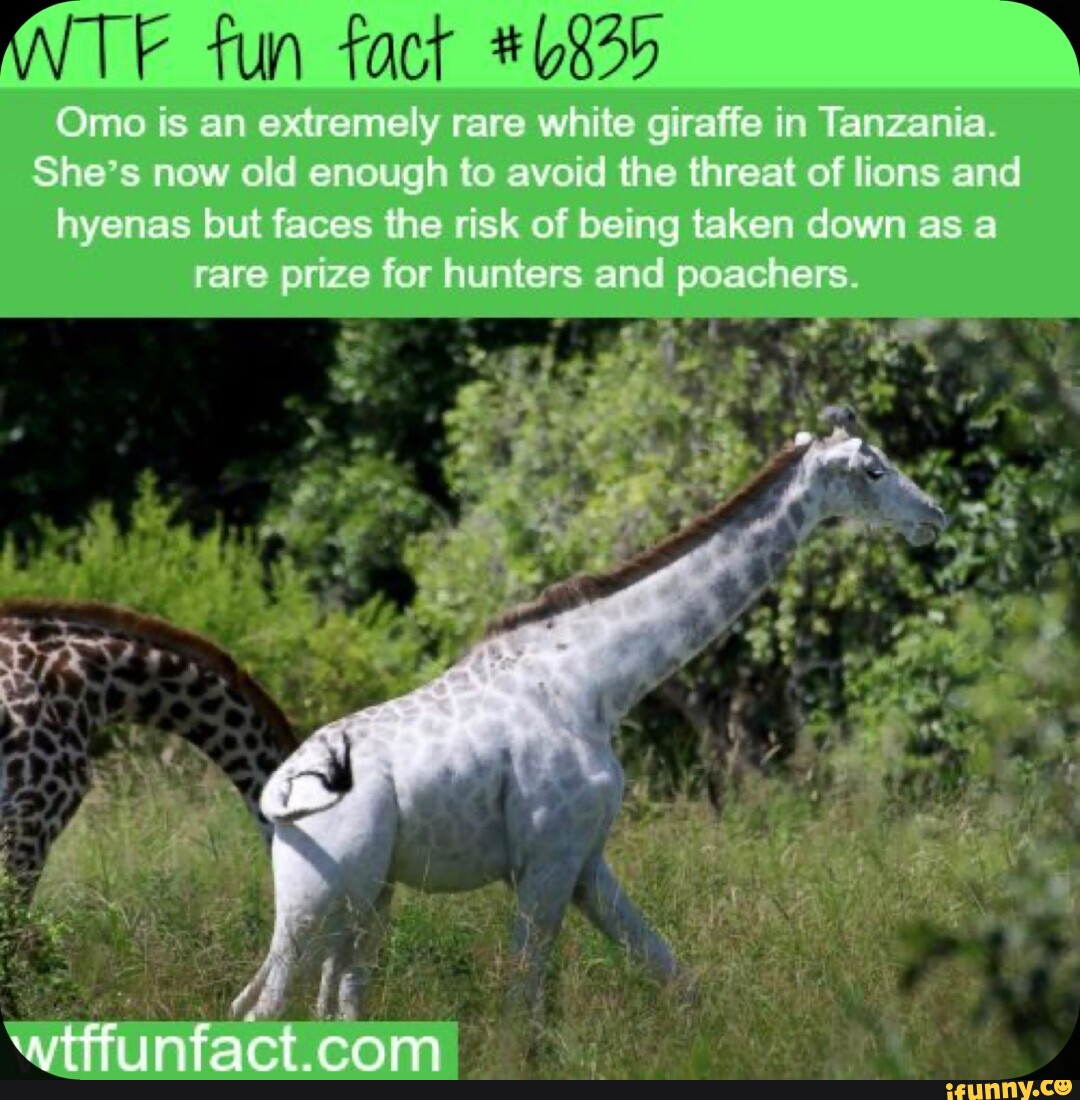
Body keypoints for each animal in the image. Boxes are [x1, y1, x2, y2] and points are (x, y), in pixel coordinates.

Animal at [231, 407, 948, 1038]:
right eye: (874, 469)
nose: (934, 517)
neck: (596, 682)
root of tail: (279, 793)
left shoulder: (585, 860)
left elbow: (671, 972)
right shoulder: (547, 857)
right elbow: (522, 1004)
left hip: (366, 899)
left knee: (330, 1006)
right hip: (317, 900)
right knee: (263, 1008)